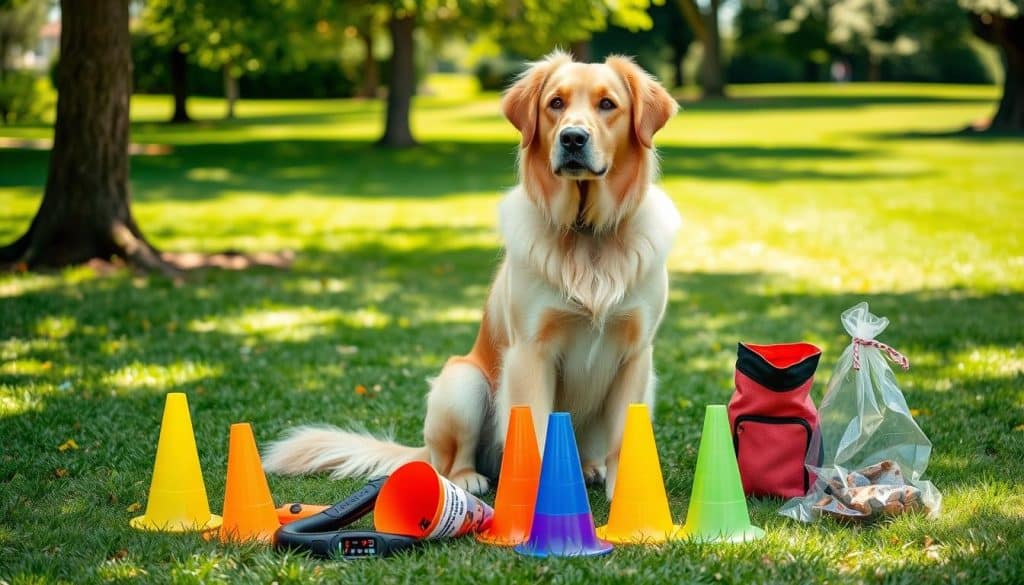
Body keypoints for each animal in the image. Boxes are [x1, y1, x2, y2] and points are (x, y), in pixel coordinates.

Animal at [264, 51, 679, 499]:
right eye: (555, 103)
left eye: (607, 104)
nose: (571, 138)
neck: (587, 235)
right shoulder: (530, 352)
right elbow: (535, 432)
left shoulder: (636, 354)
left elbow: (624, 438)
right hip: (463, 381)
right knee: (449, 462)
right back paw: (469, 478)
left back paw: (588, 468)